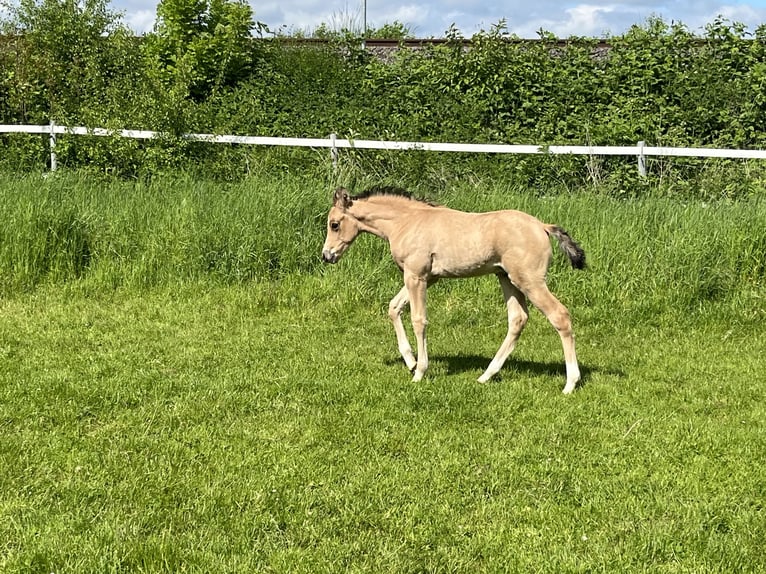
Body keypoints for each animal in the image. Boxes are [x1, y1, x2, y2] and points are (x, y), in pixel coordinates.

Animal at [321, 186, 586, 394]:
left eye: (334, 224)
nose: (327, 256)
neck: (406, 222)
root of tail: (542, 226)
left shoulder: (416, 276)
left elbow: (419, 320)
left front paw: (419, 371)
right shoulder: (428, 278)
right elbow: (394, 307)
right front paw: (410, 361)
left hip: (530, 281)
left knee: (559, 316)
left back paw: (570, 384)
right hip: (507, 279)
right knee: (517, 319)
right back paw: (486, 376)